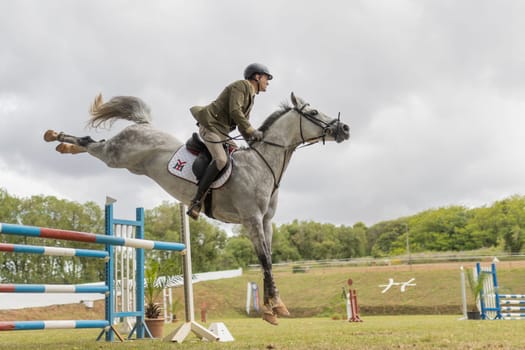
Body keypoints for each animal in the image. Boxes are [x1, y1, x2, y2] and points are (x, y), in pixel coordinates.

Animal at [44, 92, 348, 326]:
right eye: (314, 112)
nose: (344, 129)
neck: (263, 164)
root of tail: (144, 124)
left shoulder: (266, 222)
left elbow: (267, 261)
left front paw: (271, 309)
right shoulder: (251, 219)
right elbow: (265, 261)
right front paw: (277, 308)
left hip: (125, 162)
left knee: (93, 144)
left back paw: (62, 145)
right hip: (116, 156)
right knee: (90, 142)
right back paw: (54, 135)